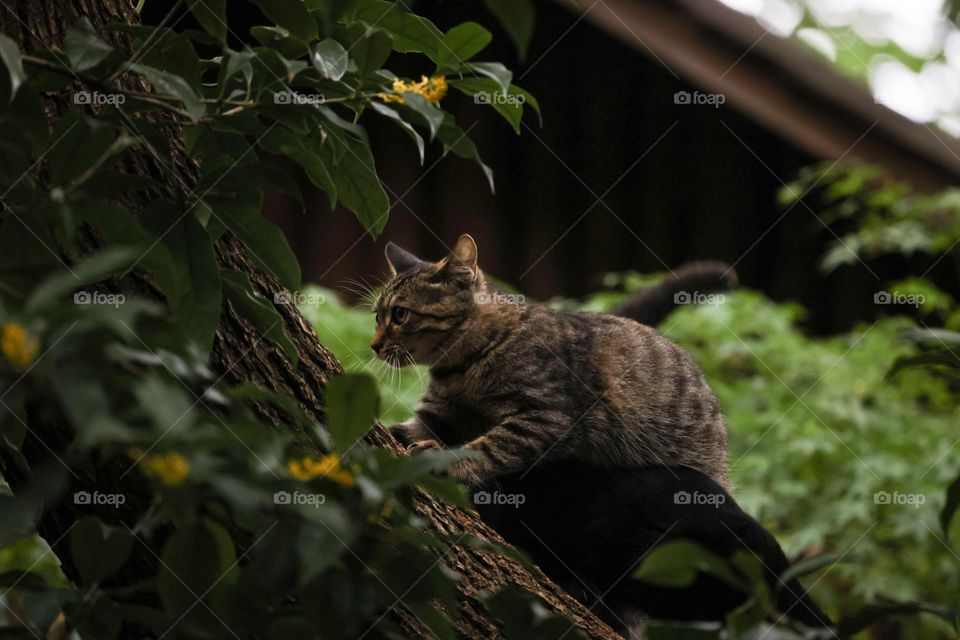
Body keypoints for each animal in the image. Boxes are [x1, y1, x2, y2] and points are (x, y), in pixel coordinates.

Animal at [370, 235, 728, 490]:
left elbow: (486, 447)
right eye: (376, 316)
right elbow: (406, 428)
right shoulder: (435, 414)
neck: (460, 367)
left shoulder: (544, 416)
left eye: (399, 314)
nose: (373, 345)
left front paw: (443, 462)